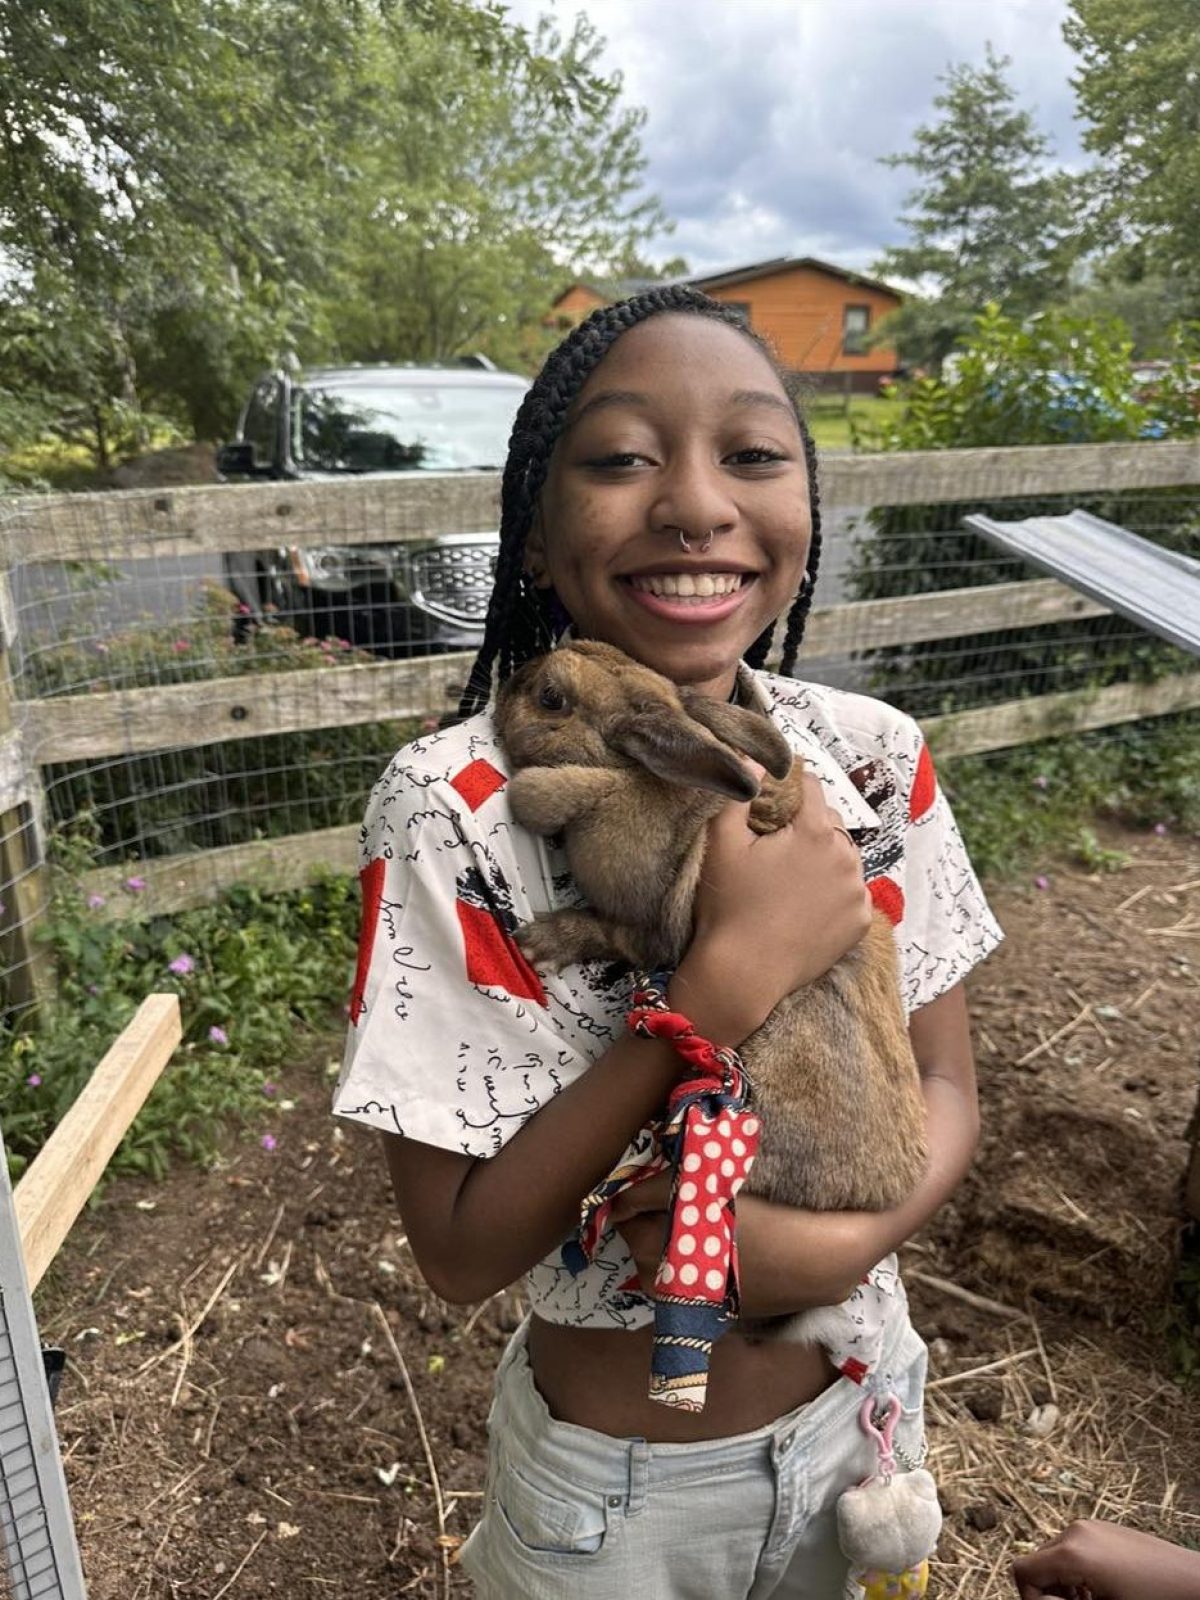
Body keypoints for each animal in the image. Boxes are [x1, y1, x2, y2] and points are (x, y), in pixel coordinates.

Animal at [494, 639, 928, 1340]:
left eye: (551, 698)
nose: (508, 683)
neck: (629, 773)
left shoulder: (651, 931)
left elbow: (607, 918)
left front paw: (539, 941)